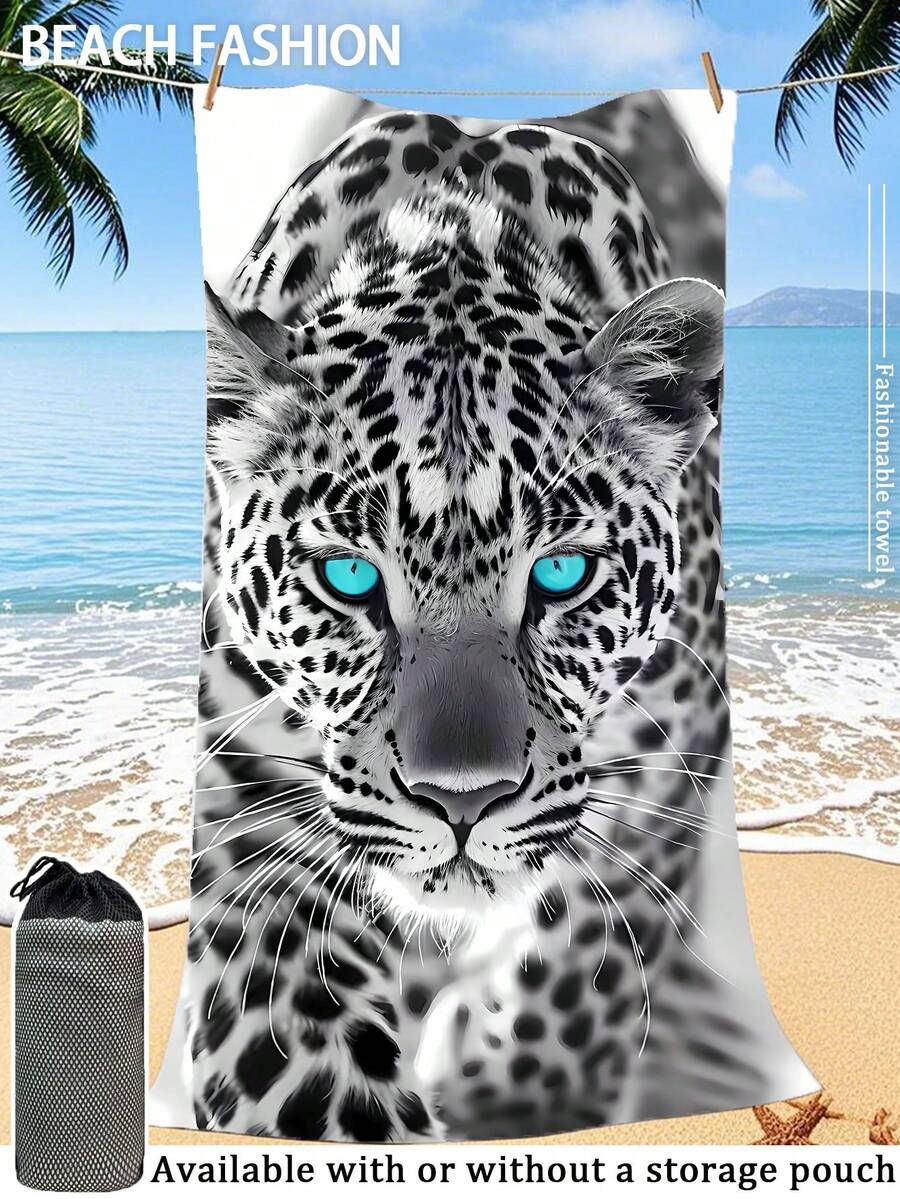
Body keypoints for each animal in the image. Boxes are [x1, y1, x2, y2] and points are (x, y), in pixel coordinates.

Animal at [162, 106, 815, 1143]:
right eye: (349, 575)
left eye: (561, 573)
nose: (462, 802)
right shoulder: (248, 807)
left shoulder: (673, 742)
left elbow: (593, 938)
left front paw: (517, 1095)